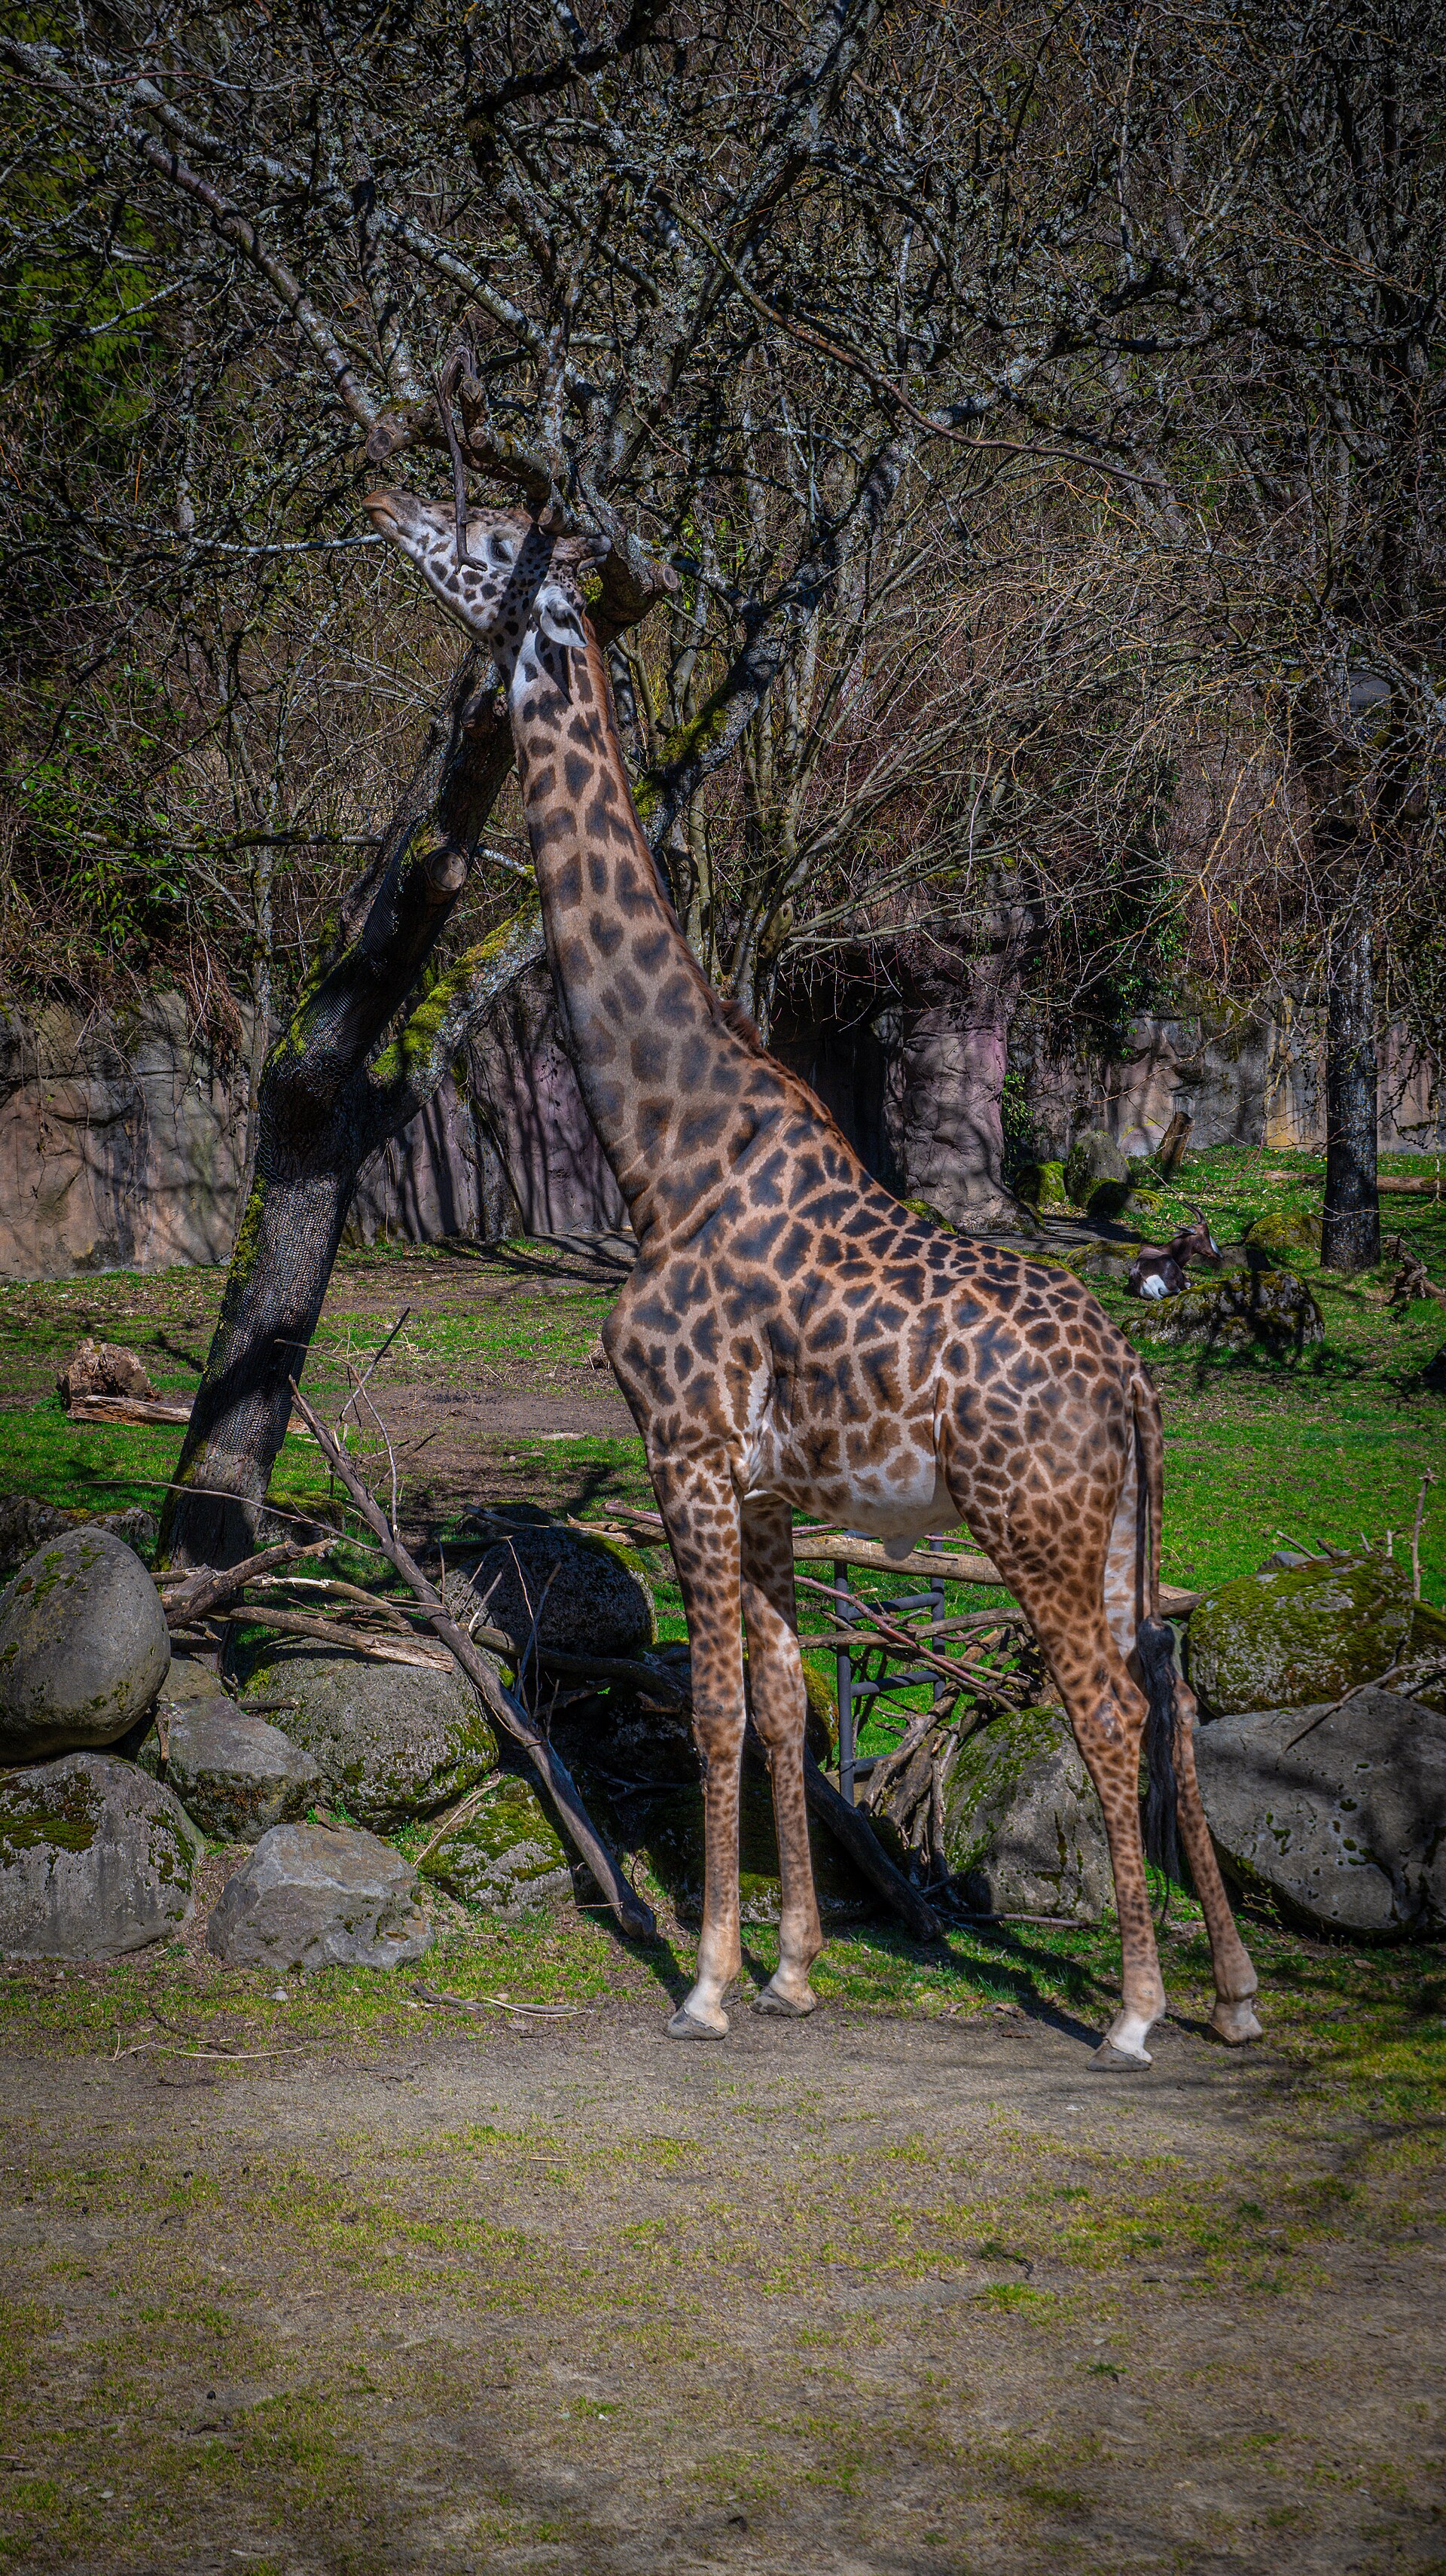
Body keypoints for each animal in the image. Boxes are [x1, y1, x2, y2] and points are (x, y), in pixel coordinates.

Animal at [365, 486, 1263, 2070]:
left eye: (481, 530)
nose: (382, 497)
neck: (665, 1151)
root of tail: (1134, 1373)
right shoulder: (770, 1481)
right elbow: (789, 1701)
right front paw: (791, 1967)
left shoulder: (681, 1440)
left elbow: (715, 1706)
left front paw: (709, 1985)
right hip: (1109, 1525)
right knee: (1167, 1682)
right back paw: (1231, 1989)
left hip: (1029, 1523)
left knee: (1100, 1707)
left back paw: (1136, 2012)